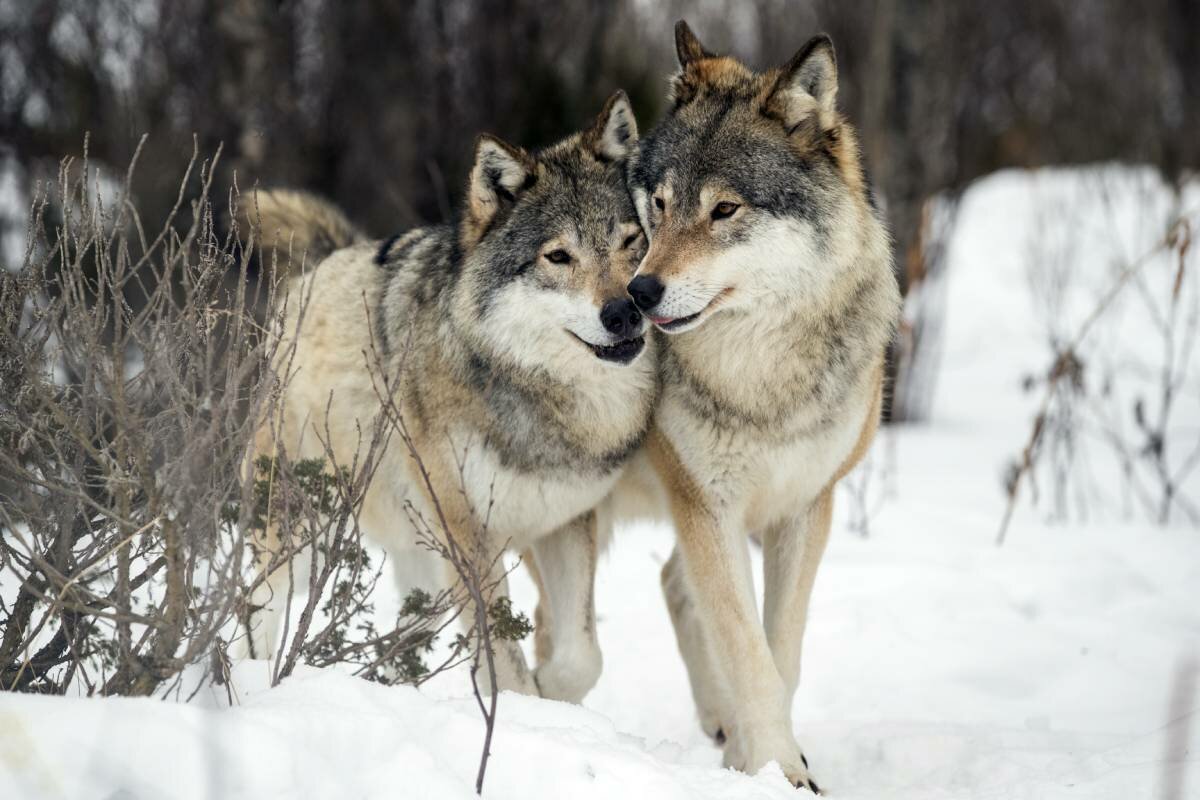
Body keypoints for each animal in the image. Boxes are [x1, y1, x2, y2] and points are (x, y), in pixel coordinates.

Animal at [242, 91, 657, 703]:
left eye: (632, 242)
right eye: (558, 257)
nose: (624, 311)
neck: (541, 396)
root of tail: (316, 268)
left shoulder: (564, 523)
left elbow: (581, 657)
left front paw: (553, 696)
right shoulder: (469, 537)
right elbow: (504, 664)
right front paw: (526, 708)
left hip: (424, 567)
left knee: (401, 638)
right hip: (301, 535)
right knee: (253, 611)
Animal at [620, 22, 901, 792]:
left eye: (724, 210)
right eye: (661, 204)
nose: (639, 293)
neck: (759, 379)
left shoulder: (805, 508)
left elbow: (782, 652)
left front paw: (771, 763)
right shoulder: (706, 505)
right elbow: (751, 657)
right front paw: (777, 768)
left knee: (672, 582)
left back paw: (722, 730)